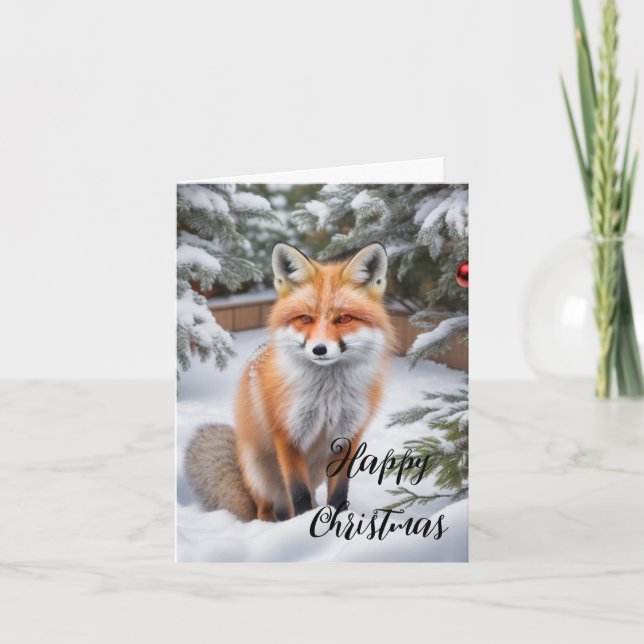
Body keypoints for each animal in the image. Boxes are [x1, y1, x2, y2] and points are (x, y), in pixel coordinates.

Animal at [185, 241, 394, 522]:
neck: (327, 397)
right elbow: (298, 493)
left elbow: (339, 493)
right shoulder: (287, 435)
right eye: (305, 318)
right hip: (260, 472)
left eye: (344, 319)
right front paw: (304, 524)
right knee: (265, 509)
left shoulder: (348, 437)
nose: (319, 349)